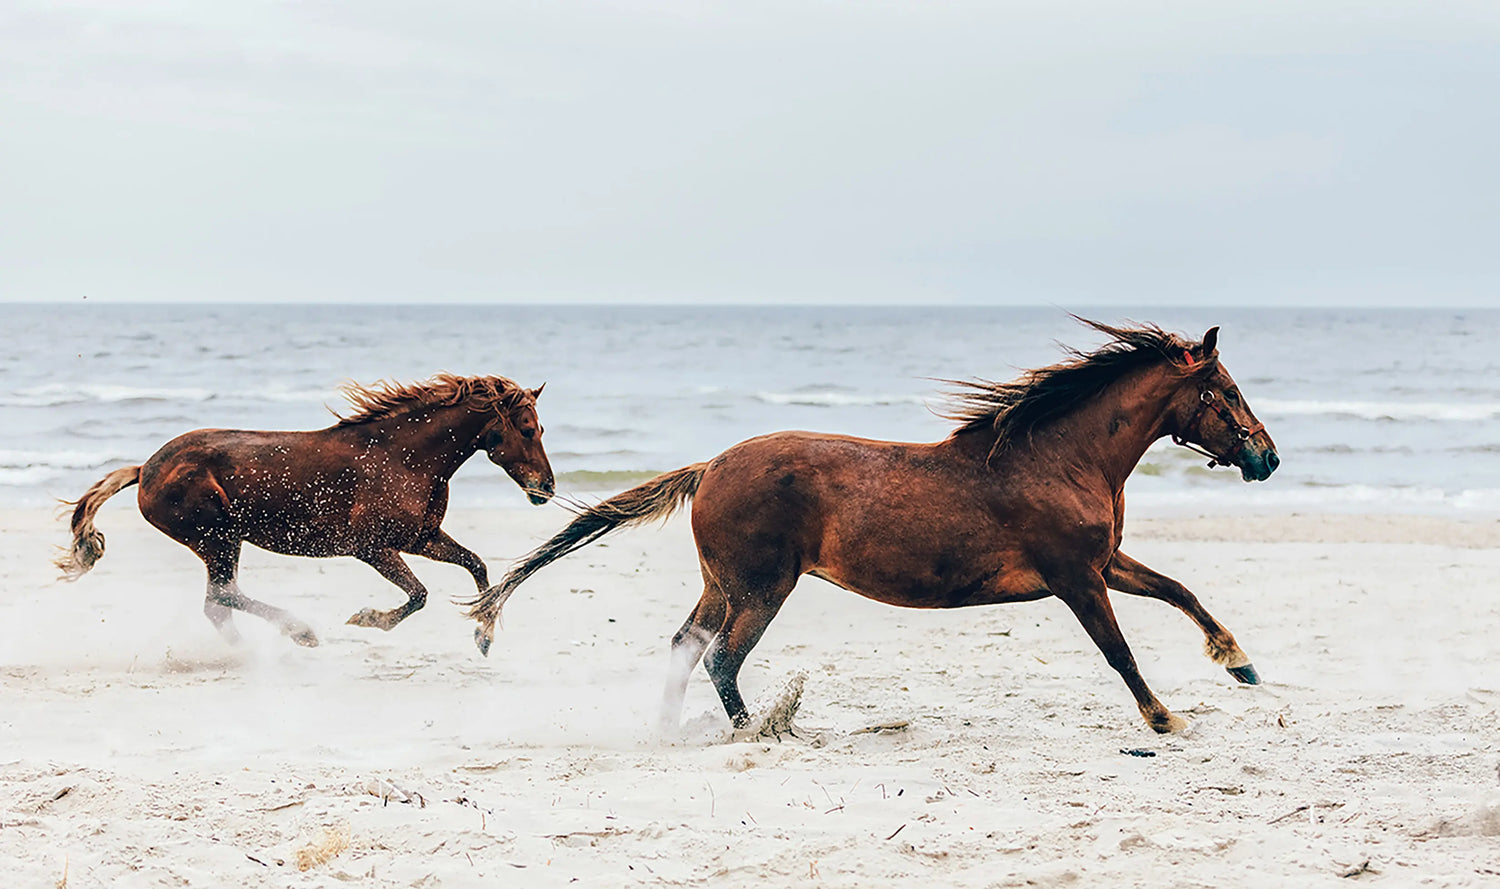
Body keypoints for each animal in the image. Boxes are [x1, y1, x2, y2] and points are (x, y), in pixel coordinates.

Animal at [465, 322, 1278, 731]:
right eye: (1228, 390)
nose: (1266, 457)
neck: (1057, 456)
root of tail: (712, 465)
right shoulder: (1077, 577)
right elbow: (1119, 651)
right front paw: (1165, 718)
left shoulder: (1105, 563)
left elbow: (1181, 591)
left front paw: (1239, 662)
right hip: (763, 588)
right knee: (723, 658)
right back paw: (756, 730)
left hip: (721, 585)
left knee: (686, 646)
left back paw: (668, 729)